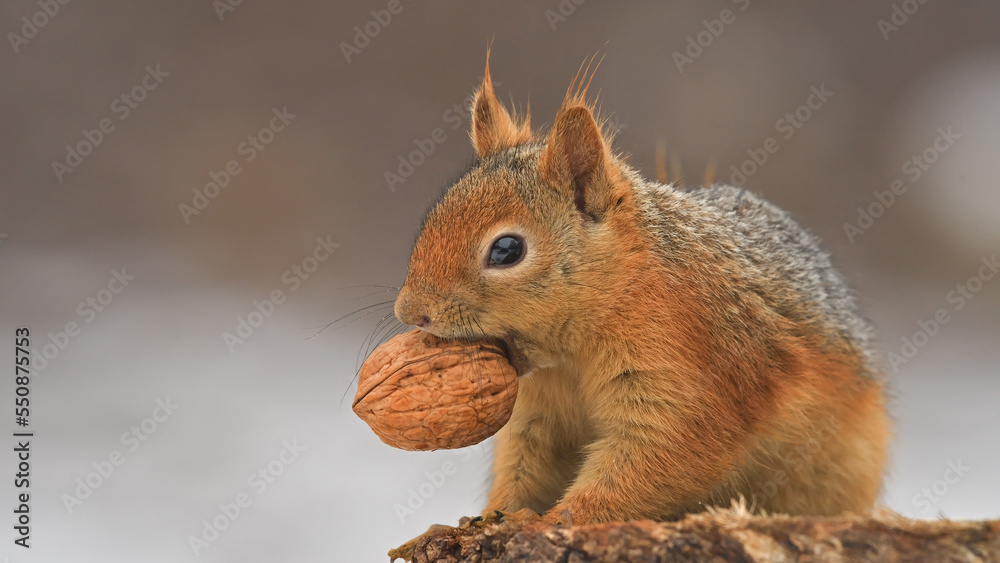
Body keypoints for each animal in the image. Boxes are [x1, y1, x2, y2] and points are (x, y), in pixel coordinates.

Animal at [392, 54, 891, 526]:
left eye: (507, 250)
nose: (410, 312)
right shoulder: (537, 413)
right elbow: (525, 462)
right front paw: (487, 518)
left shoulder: (693, 373)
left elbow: (659, 456)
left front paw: (551, 523)